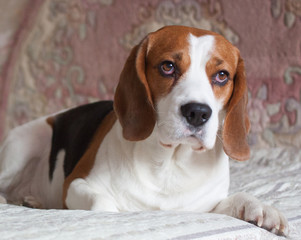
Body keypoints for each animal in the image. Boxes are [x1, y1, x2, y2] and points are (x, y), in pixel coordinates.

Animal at [0, 25, 286, 234]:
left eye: (222, 75)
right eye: (168, 66)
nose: (197, 113)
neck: (170, 163)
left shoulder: (204, 206)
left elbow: (236, 199)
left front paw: (260, 208)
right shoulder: (75, 183)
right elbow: (104, 204)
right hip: (21, 147)